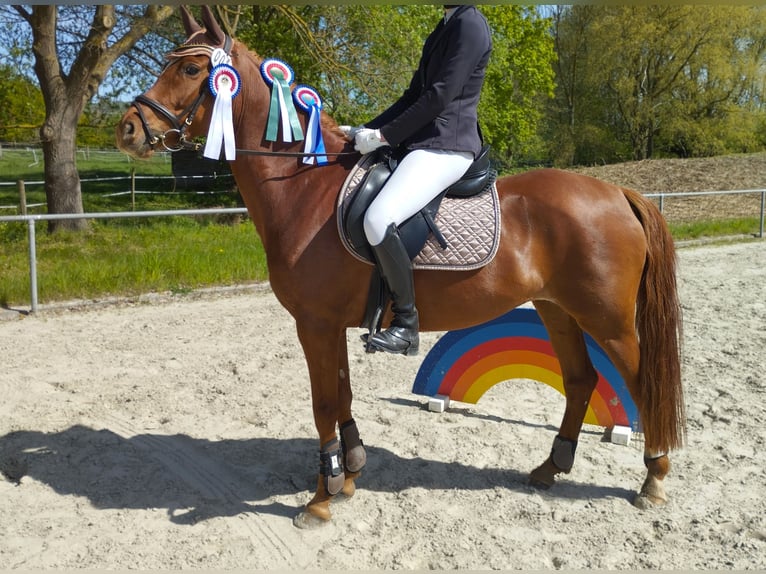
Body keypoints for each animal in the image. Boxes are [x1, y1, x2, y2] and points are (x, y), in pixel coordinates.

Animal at [116, 6, 685, 528]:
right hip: (557, 309)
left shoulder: (314, 323)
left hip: (607, 319)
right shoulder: (328, 325)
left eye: (192, 70)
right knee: (581, 379)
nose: (127, 130)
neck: (303, 189)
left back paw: (653, 480)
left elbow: (323, 403)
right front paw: (348, 474)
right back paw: (549, 469)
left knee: (640, 383)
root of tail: (618, 192)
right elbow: (341, 394)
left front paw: (320, 499)